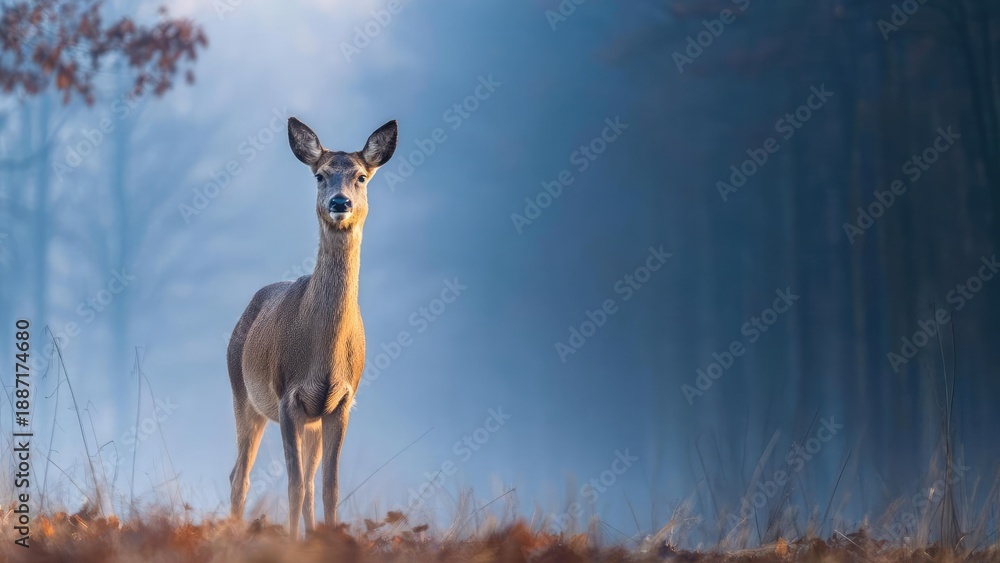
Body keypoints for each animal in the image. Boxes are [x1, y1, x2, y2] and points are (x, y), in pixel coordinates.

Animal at [226, 117, 397, 539]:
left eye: (361, 177)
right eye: (320, 175)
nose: (340, 202)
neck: (323, 356)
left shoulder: (341, 401)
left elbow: (326, 487)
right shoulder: (287, 395)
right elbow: (292, 484)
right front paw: (290, 541)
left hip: (310, 420)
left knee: (288, 478)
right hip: (243, 394)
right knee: (240, 476)